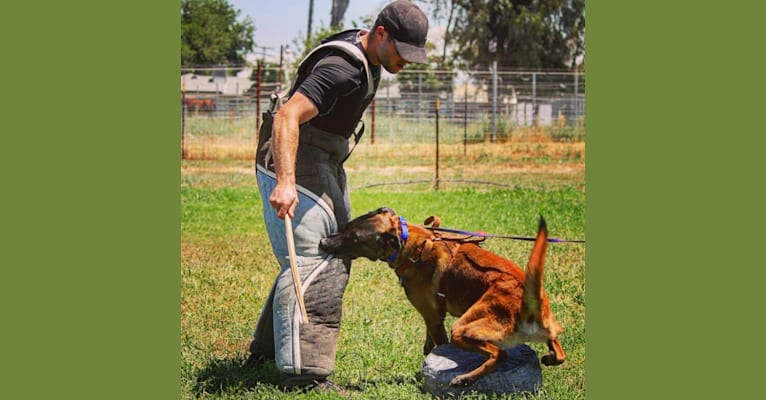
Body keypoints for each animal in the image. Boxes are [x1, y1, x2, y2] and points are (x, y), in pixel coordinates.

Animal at [318, 208, 564, 386]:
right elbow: (429, 344)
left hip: (462, 328)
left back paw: (465, 379)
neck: (409, 244)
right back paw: (550, 357)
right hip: (546, 327)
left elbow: (438, 344)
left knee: (500, 354)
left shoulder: (435, 319)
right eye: (346, 227)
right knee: (558, 350)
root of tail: (528, 300)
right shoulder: (433, 315)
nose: (322, 243)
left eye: (354, 238)